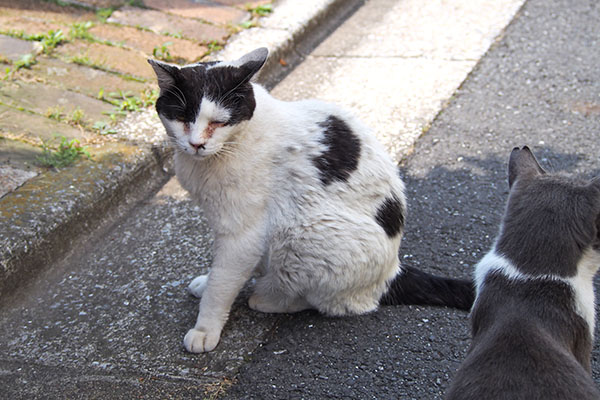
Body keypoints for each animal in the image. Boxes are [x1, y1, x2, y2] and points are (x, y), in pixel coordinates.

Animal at [149, 47, 474, 354]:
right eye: (182, 118)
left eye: (219, 122)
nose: (196, 144)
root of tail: (393, 271)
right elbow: (222, 272)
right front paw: (206, 283)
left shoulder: (243, 232)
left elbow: (222, 283)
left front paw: (205, 329)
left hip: (303, 233)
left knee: (333, 302)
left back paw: (269, 297)